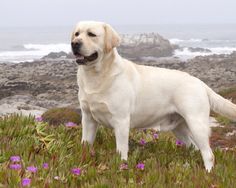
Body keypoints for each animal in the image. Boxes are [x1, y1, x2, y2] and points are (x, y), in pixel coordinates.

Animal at [71, 20, 236, 172]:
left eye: (91, 34)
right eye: (77, 33)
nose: (74, 43)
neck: (96, 76)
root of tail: (201, 83)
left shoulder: (121, 121)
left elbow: (121, 150)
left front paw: (122, 166)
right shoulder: (88, 119)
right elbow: (85, 144)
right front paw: (82, 160)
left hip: (197, 123)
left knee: (209, 154)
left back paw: (208, 174)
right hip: (180, 129)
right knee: (195, 148)